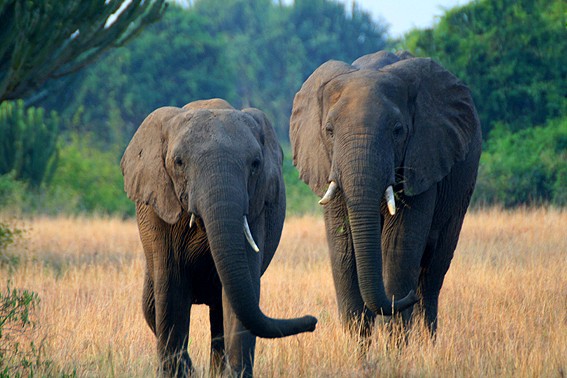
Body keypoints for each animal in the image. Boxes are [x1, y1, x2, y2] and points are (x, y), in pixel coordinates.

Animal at [121, 99, 318, 376]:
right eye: (178, 162)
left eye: (255, 164)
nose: (313, 321)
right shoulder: (159, 212)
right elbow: (171, 292)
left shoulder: (256, 209)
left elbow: (240, 296)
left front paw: (236, 374)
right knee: (151, 307)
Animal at [290, 51, 482, 336]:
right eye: (329, 131)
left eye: (397, 130)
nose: (408, 298)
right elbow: (344, 251)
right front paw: (358, 346)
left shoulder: (424, 159)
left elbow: (398, 249)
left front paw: (394, 344)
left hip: (461, 190)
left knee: (432, 273)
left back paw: (426, 338)